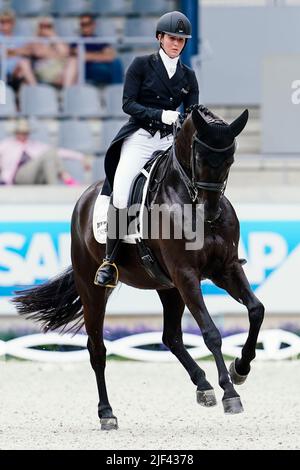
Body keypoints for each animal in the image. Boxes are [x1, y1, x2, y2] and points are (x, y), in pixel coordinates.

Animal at [12, 106, 264, 430]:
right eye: (199, 159)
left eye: (230, 160)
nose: (211, 213)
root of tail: (86, 196)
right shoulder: (187, 275)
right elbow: (211, 332)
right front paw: (230, 393)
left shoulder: (226, 269)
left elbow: (256, 310)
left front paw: (239, 369)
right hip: (93, 288)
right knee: (97, 349)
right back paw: (107, 413)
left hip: (168, 287)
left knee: (170, 337)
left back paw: (203, 386)